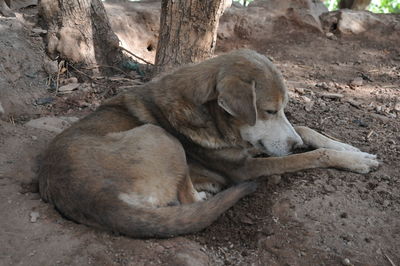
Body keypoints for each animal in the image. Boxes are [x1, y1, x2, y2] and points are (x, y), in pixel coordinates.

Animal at [37, 48, 378, 238]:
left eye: (282, 109)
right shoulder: (244, 170)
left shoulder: (254, 145)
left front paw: (349, 148)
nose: (293, 144)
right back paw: (206, 193)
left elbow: (305, 128)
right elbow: (309, 157)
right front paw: (354, 161)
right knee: (187, 200)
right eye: (268, 111)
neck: (210, 115)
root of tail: (95, 199)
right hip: (159, 136)